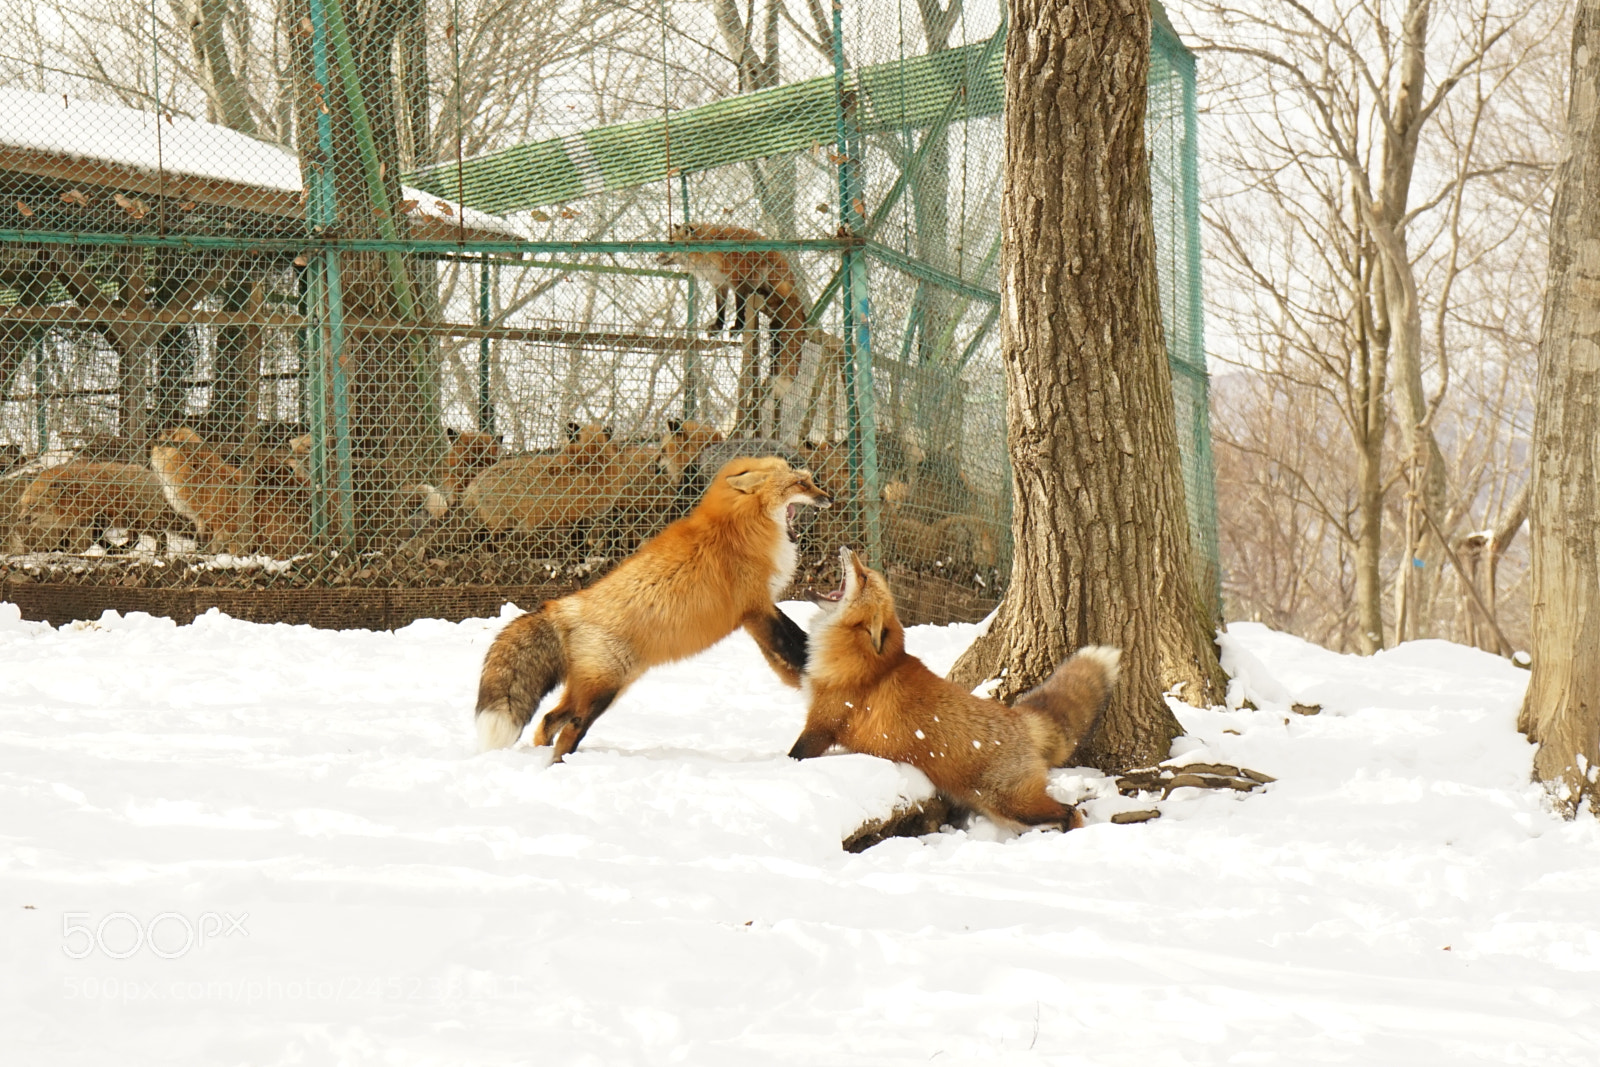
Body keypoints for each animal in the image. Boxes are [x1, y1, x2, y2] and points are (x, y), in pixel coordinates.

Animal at [474, 456, 833, 760]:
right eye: (801, 483)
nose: (828, 498)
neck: (740, 528)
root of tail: (565, 606)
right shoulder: (755, 608)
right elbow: (789, 642)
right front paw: (809, 668)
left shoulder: (756, 609)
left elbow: (791, 639)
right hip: (601, 693)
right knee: (568, 732)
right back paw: (560, 764)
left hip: (597, 689)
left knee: (549, 720)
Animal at [658, 223, 808, 389]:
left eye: (671, 243)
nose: (656, 257)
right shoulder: (720, 283)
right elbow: (720, 309)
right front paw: (717, 327)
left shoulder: (739, 280)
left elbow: (739, 309)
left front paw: (737, 327)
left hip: (769, 275)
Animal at [788, 547, 1120, 832]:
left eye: (864, 576)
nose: (849, 549)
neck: (858, 657)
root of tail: (1018, 718)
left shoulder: (822, 724)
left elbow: (795, 756)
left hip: (1013, 804)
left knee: (1070, 811)